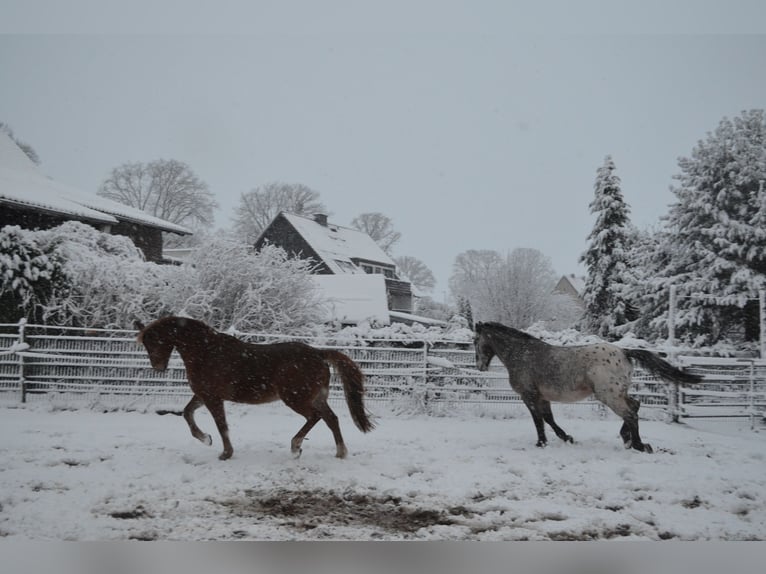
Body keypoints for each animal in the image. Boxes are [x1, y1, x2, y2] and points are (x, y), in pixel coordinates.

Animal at [140, 318, 380, 462]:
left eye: (153, 342)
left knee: (315, 417)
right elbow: (187, 413)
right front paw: (206, 438)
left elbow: (221, 425)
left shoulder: (213, 398)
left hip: (295, 398)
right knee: (331, 418)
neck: (206, 351)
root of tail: (319, 353)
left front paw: (225, 453)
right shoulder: (203, 395)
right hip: (316, 398)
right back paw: (340, 452)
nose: (158, 367)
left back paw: (296, 447)